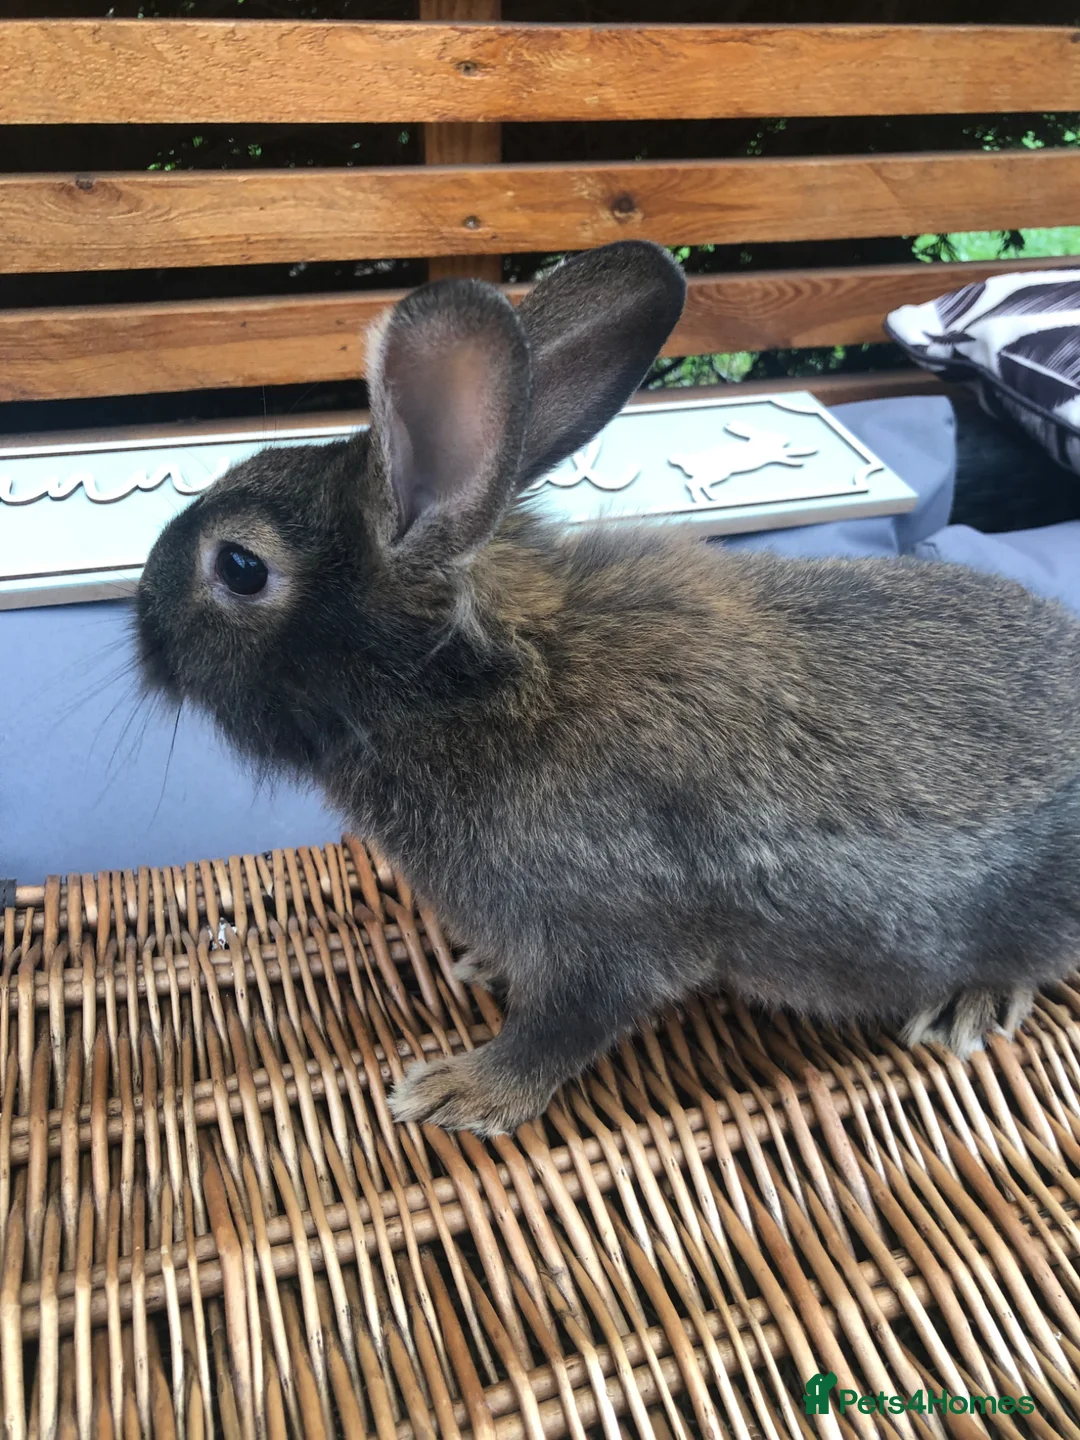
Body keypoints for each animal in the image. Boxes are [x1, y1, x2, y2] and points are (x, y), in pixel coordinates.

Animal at [136, 239, 1080, 1137]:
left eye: (241, 567)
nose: (142, 617)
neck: (481, 692)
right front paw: (482, 968)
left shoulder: (609, 934)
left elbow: (563, 1027)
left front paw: (459, 1092)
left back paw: (971, 1004)